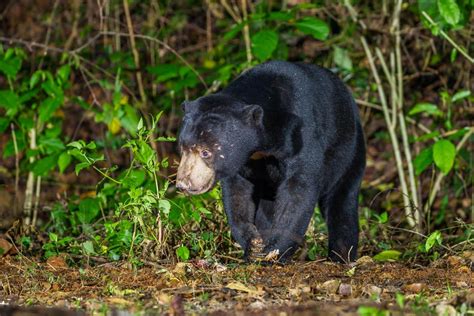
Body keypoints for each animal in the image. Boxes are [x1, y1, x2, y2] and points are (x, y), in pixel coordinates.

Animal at [176, 60, 364, 262]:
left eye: (205, 152)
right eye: (183, 147)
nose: (183, 183)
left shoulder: (302, 132)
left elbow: (299, 188)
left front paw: (274, 251)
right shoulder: (242, 160)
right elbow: (238, 193)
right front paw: (253, 244)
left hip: (349, 151)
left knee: (342, 201)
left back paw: (341, 256)